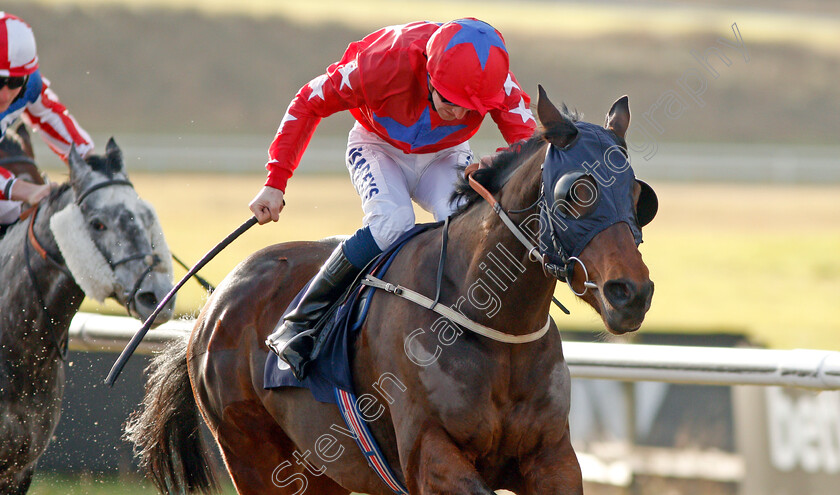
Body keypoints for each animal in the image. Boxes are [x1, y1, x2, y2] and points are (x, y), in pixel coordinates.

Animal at [130, 87, 656, 494]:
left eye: (638, 197)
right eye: (577, 193)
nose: (630, 293)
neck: (490, 325)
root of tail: (213, 304)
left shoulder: (552, 458)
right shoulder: (430, 456)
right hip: (255, 457)